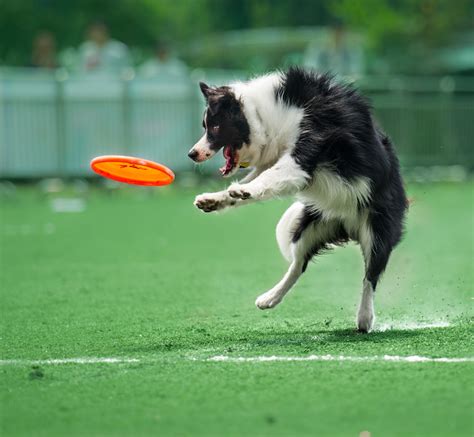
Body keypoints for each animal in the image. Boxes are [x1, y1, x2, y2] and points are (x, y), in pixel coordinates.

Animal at [189, 67, 408, 330]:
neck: (266, 115)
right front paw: (216, 198)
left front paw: (244, 190)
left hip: (377, 229)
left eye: (215, 127)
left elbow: (268, 176)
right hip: (309, 227)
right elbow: (255, 180)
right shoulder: (279, 159)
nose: (191, 154)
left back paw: (364, 318)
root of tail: (348, 225)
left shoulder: (308, 148)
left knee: (371, 276)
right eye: (205, 125)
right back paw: (270, 298)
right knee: (299, 264)